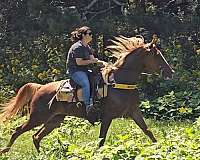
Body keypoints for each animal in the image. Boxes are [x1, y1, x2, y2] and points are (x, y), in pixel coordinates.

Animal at [0, 35, 173, 153]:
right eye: (157, 55)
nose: (170, 72)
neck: (119, 81)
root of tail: (40, 87)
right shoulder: (107, 116)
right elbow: (101, 140)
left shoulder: (133, 111)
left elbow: (148, 131)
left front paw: (161, 148)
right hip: (38, 117)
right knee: (18, 131)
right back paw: (6, 151)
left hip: (54, 120)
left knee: (36, 137)